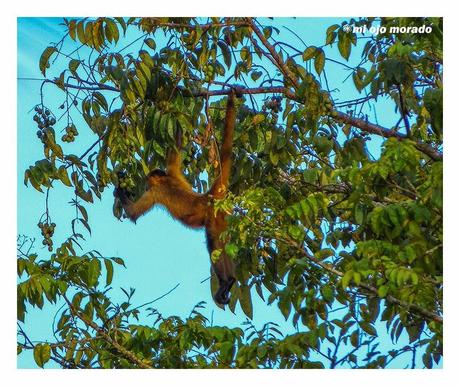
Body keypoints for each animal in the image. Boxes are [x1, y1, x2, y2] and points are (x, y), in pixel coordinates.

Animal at [114, 92, 237, 306]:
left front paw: (119, 185)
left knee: (213, 244)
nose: (145, 185)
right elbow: (175, 146)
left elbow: (133, 214)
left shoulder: (155, 192)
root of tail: (208, 196)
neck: (166, 180)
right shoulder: (172, 171)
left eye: (147, 184)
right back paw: (230, 281)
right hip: (222, 217)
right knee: (223, 245)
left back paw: (224, 282)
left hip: (212, 218)